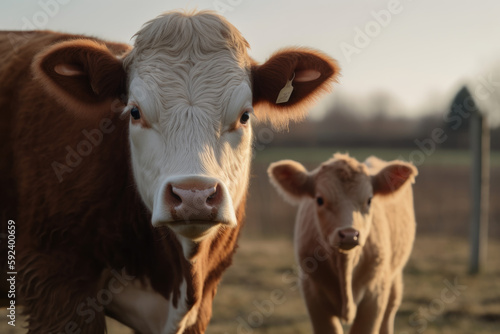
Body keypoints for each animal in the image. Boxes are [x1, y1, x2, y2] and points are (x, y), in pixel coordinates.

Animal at [270, 153, 418, 334]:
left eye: (369, 200)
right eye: (320, 200)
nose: (349, 234)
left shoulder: (374, 296)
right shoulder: (313, 296)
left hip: (393, 279)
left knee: (389, 311)